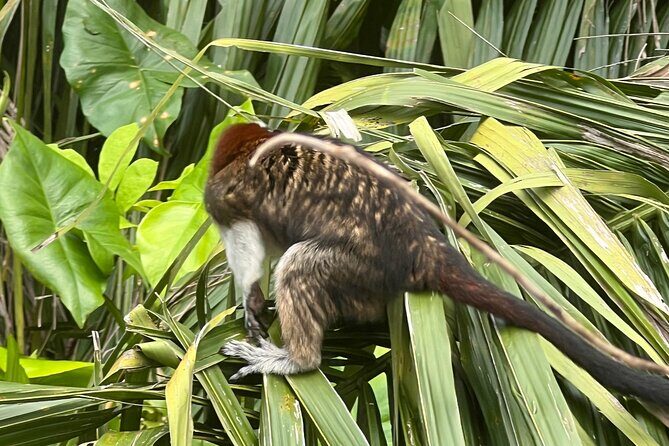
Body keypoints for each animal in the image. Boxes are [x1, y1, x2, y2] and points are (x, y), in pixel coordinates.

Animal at [204, 122, 669, 406]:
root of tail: (423, 244)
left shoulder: (225, 193)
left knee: (299, 263)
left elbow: (246, 241)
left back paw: (299, 359)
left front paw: (250, 296)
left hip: (365, 266)